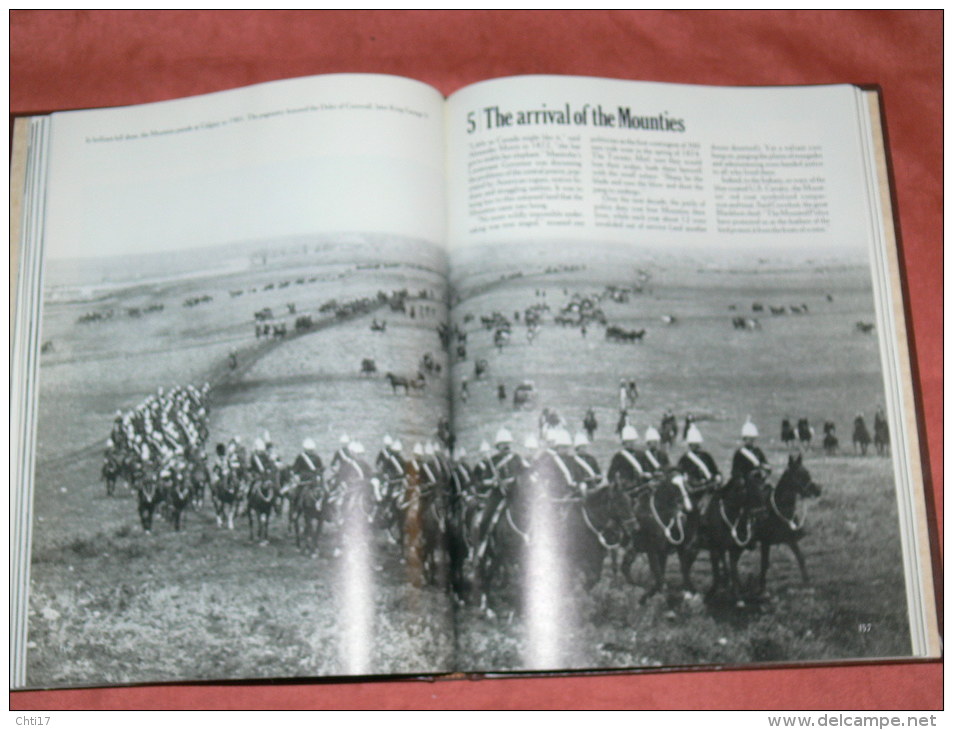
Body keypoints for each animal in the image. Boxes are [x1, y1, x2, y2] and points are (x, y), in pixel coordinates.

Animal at [756, 456, 820, 592]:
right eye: (799, 475)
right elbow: (764, 564)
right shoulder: (765, 542)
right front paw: (762, 587)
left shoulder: (791, 540)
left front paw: (807, 582)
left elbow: (801, 558)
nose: (818, 491)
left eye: (808, 472)